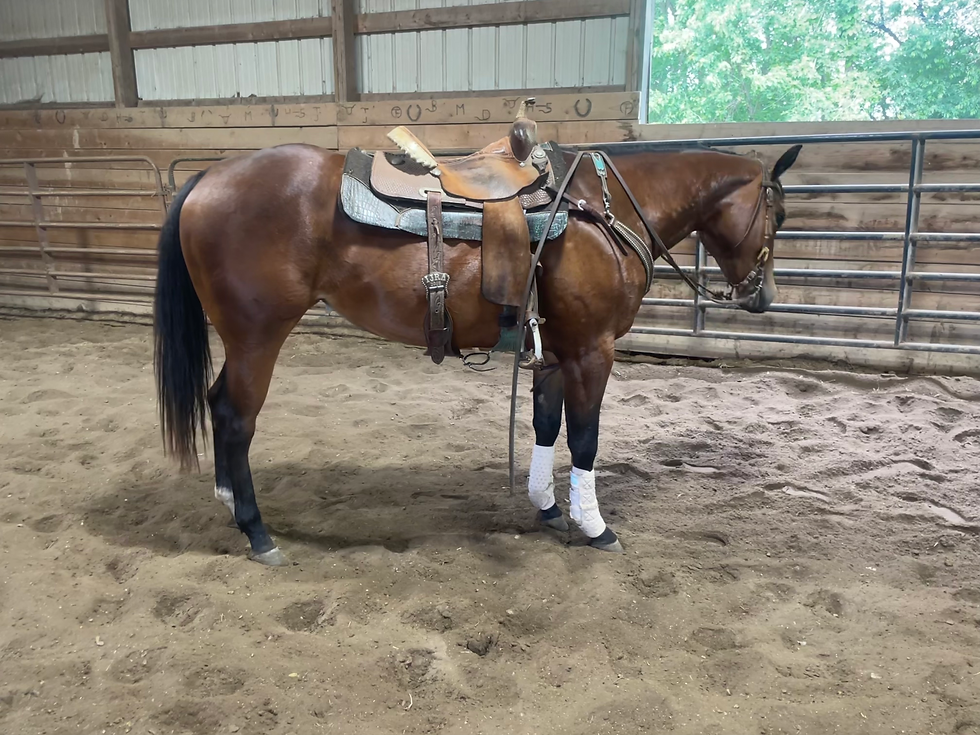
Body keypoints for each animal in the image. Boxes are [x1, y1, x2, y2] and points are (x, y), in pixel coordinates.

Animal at [153, 134, 802, 565]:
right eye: (778, 211)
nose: (763, 295)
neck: (601, 211)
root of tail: (207, 180)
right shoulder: (592, 351)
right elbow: (585, 439)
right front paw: (594, 526)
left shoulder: (557, 352)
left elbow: (546, 427)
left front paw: (546, 505)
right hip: (257, 336)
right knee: (235, 417)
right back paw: (256, 530)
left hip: (242, 340)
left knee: (217, 404)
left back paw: (227, 500)